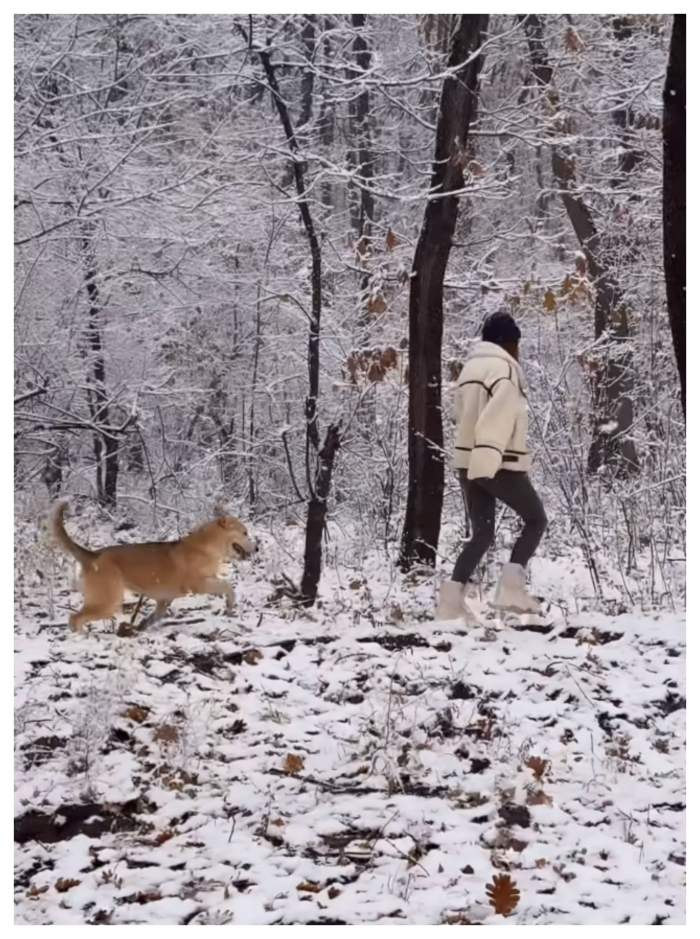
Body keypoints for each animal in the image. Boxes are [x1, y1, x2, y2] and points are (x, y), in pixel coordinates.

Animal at [52, 500, 256, 632]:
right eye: (244, 533)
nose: (258, 548)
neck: (207, 547)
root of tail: (93, 555)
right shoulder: (199, 584)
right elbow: (227, 586)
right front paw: (230, 605)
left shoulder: (164, 600)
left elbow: (155, 616)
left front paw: (142, 626)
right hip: (107, 602)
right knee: (74, 619)